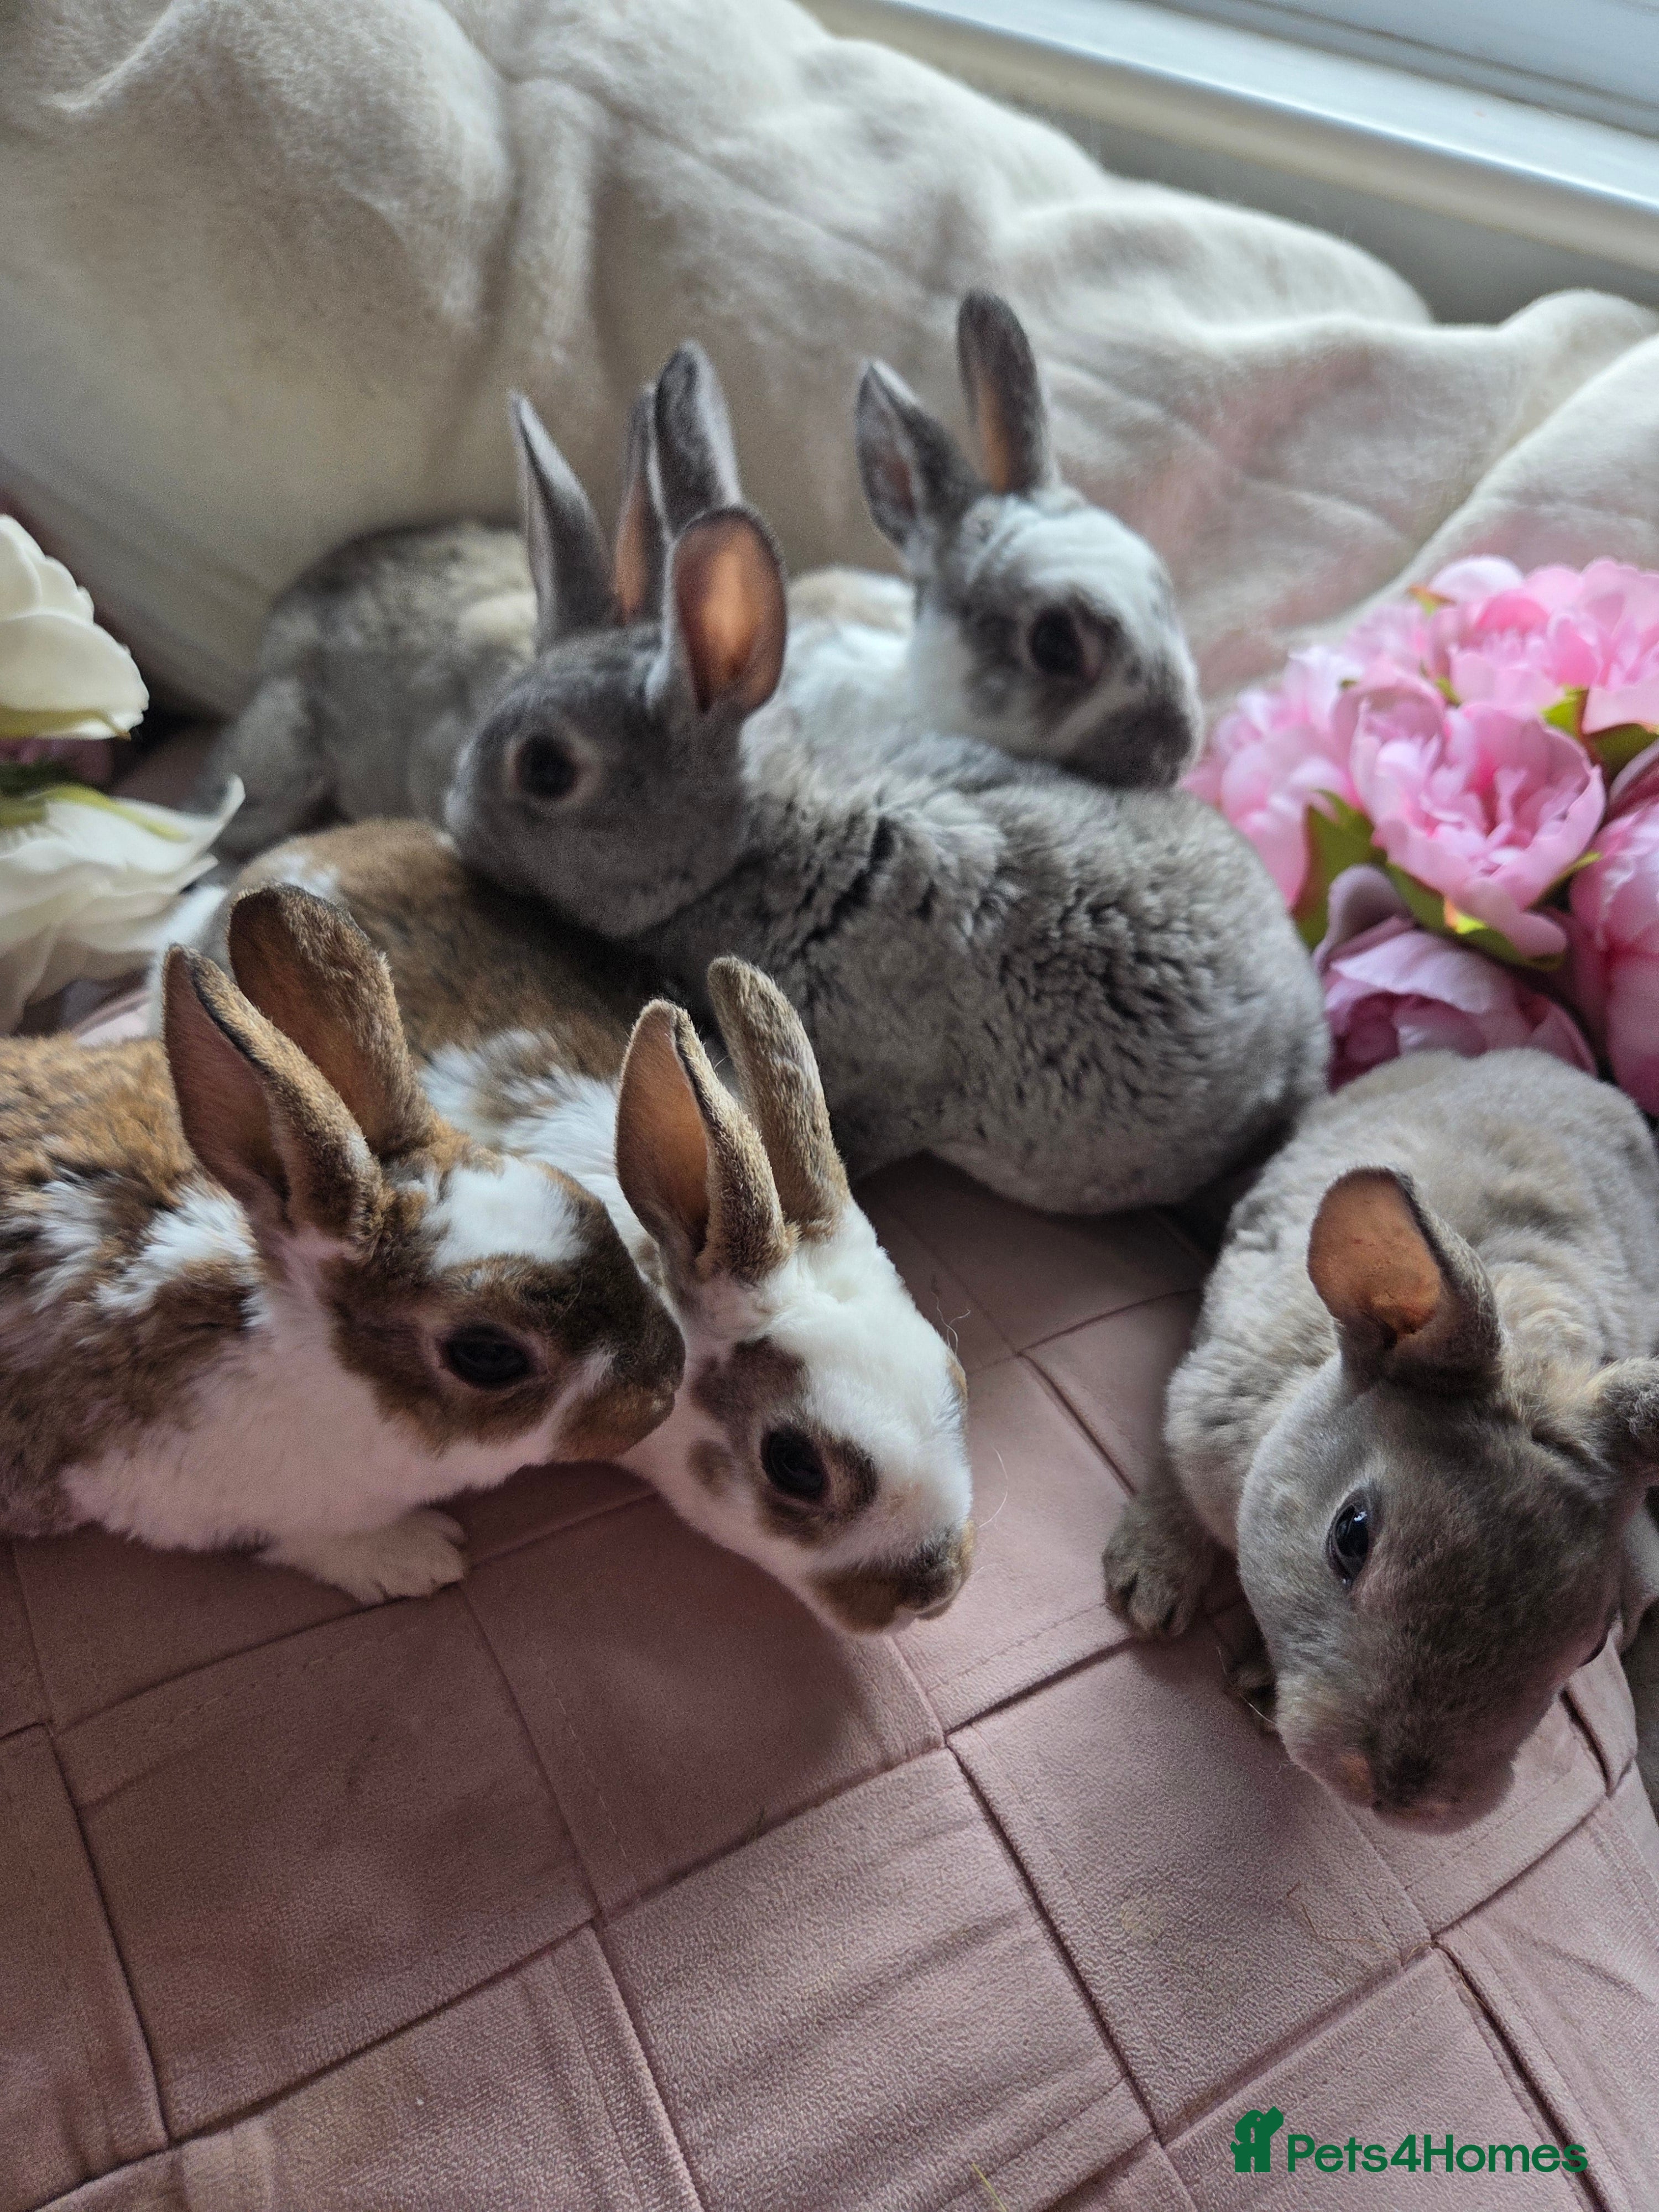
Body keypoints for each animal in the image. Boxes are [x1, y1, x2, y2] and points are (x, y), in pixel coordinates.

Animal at [1102, 1047, 1659, 1829]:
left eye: (1589, 1650)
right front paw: (1148, 1588)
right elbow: (1173, 1480)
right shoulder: (1200, 1406)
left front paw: (1261, 1690)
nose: (1399, 1795)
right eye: (1351, 1534)